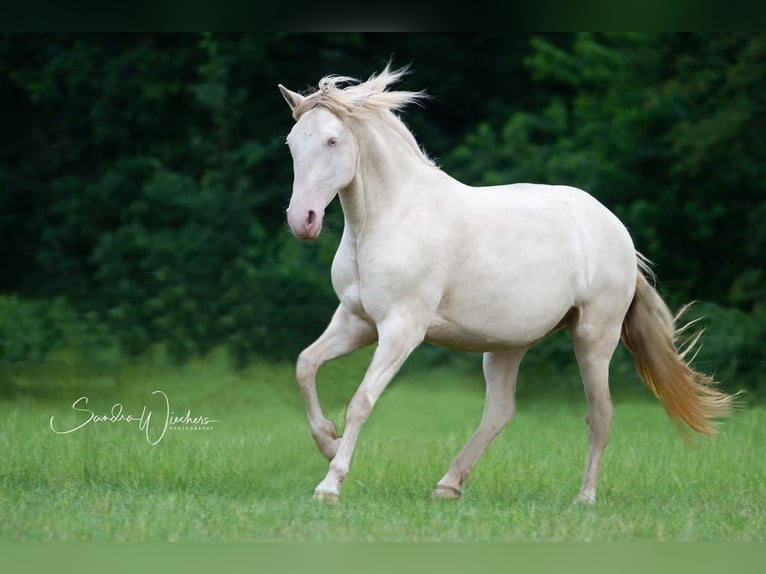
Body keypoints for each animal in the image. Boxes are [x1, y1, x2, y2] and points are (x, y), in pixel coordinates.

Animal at [280, 66, 736, 504]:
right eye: (291, 143)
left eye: (333, 140)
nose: (302, 220)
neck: (392, 218)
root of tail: (618, 233)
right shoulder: (356, 321)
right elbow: (305, 364)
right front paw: (327, 441)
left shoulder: (402, 329)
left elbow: (361, 401)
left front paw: (330, 484)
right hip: (506, 345)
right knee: (500, 411)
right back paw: (448, 486)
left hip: (594, 337)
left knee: (600, 414)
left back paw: (584, 498)